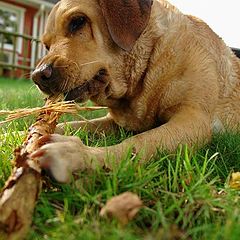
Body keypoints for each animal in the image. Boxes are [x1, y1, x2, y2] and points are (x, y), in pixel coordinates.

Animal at [31, 0, 240, 182]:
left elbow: (139, 142)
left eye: (78, 21)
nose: (38, 75)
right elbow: (77, 124)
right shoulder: (115, 122)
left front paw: (80, 155)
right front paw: (25, 133)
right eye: (47, 45)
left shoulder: (193, 119)